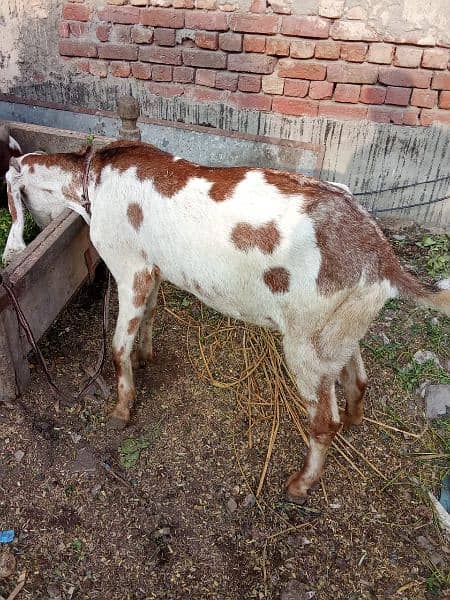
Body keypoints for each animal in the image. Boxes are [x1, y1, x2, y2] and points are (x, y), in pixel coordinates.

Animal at [3, 142, 450, 502]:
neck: (90, 179)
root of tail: (381, 256)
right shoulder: (155, 267)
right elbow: (150, 313)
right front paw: (147, 355)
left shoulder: (130, 268)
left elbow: (117, 346)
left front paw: (122, 408)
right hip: (338, 330)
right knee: (356, 377)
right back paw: (355, 418)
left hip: (304, 341)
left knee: (324, 421)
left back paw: (301, 484)